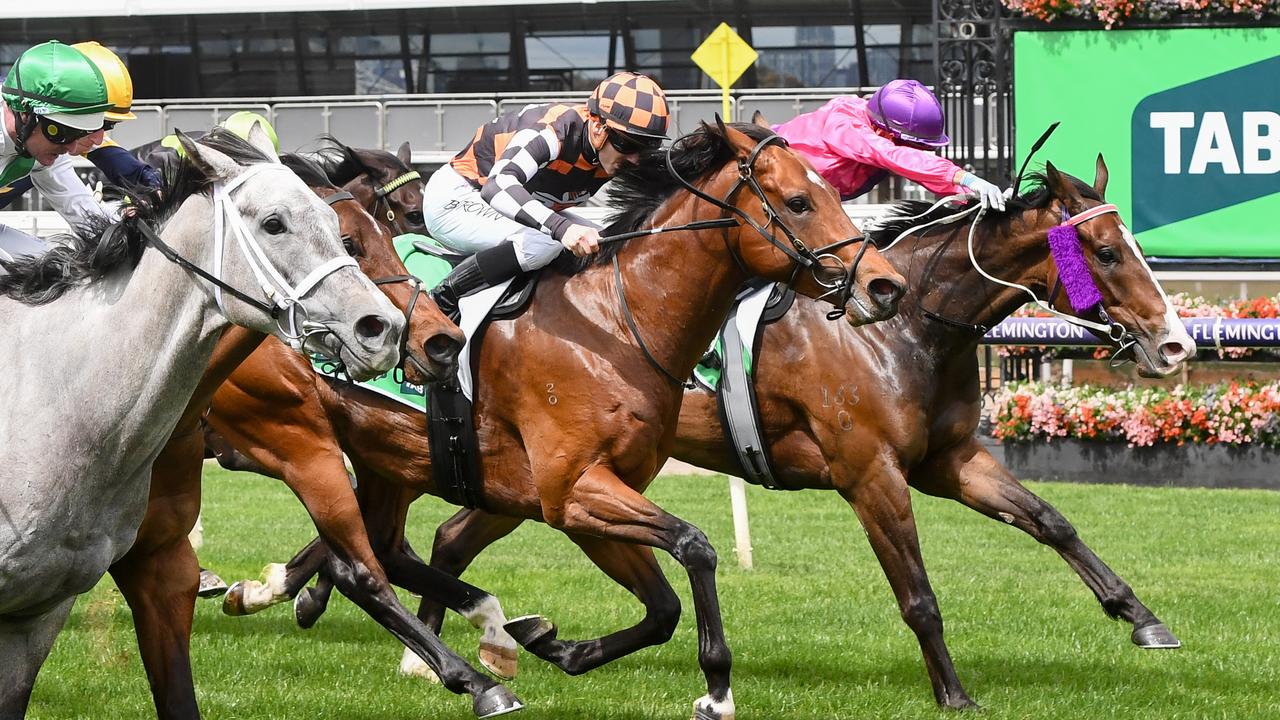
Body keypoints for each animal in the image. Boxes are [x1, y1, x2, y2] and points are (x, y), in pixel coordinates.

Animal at [204, 121, 906, 717]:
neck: (618, 321)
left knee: (384, 550)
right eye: (799, 202)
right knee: (358, 565)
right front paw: (717, 690)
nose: (885, 285)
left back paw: (483, 629)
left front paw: (556, 645)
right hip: (297, 438)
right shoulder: (573, 491)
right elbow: (695, 546)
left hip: (388, 455)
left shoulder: (590, 496)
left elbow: (662, 607)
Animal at [282, 155, 1198, 707]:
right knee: (374, 535)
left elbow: (1052, 521)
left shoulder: (948, 458)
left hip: (490, 475)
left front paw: (1143, 619)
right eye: (1106, 251)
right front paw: (954, 693)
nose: (1175, 344)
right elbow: (918, 593)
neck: (906, 329)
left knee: (432, 537)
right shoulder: (870, 470)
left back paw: (429, 635)